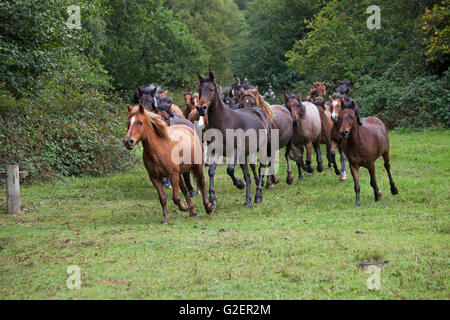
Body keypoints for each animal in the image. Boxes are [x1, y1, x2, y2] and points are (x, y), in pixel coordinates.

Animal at [197, 72, 270, 208]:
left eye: (212, 89)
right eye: (199, 90)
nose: (201, 108)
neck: (222, 122)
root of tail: (259, 112)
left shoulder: (235, 150)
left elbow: (229, 170)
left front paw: (239, 184)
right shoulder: (215, 151)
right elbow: (211, 171)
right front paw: (212, 198)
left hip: (262, 148)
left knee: (261, 167)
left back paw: (258, 196)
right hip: (244, 154)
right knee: (248, 174)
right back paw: (248, 200)